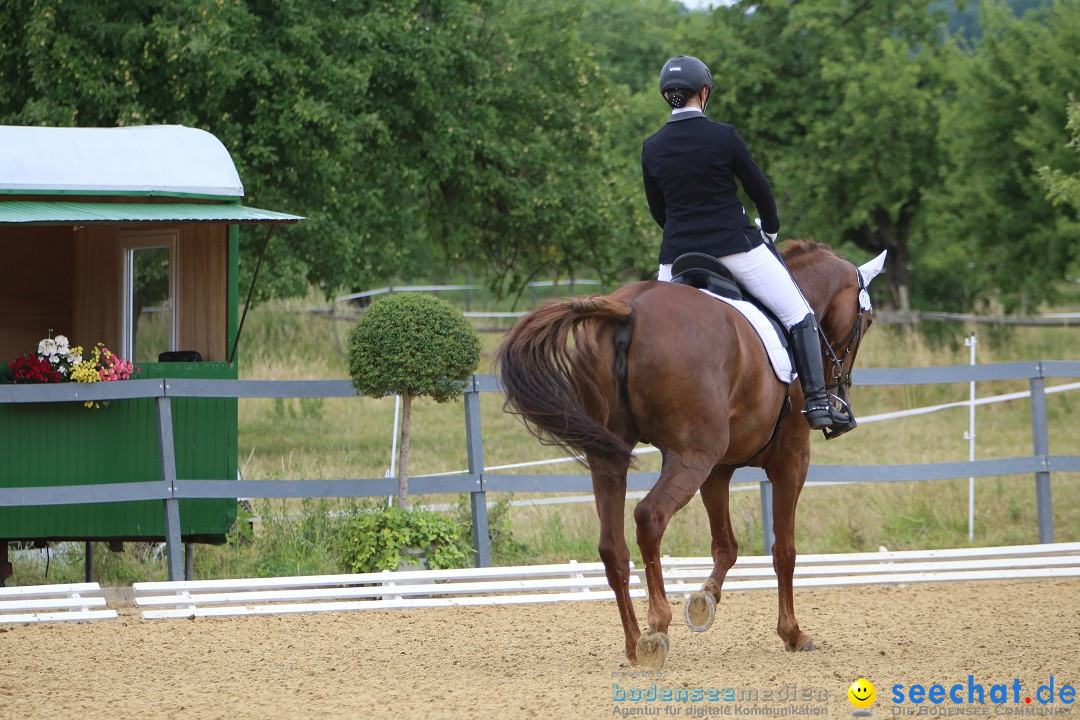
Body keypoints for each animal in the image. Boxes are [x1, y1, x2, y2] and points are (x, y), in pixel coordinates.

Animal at [496, 241, 885, 669]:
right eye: (866, 322)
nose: (838, 398)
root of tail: (628, 309)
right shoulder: (790, 461)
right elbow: (784, 550)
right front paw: (793, 633)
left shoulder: (719, 470)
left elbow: (726, 546)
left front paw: (703, 602)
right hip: (689, 458)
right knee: (649, 517)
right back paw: (656, 629)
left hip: (614, 458)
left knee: (612, 546)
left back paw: (634, 643)